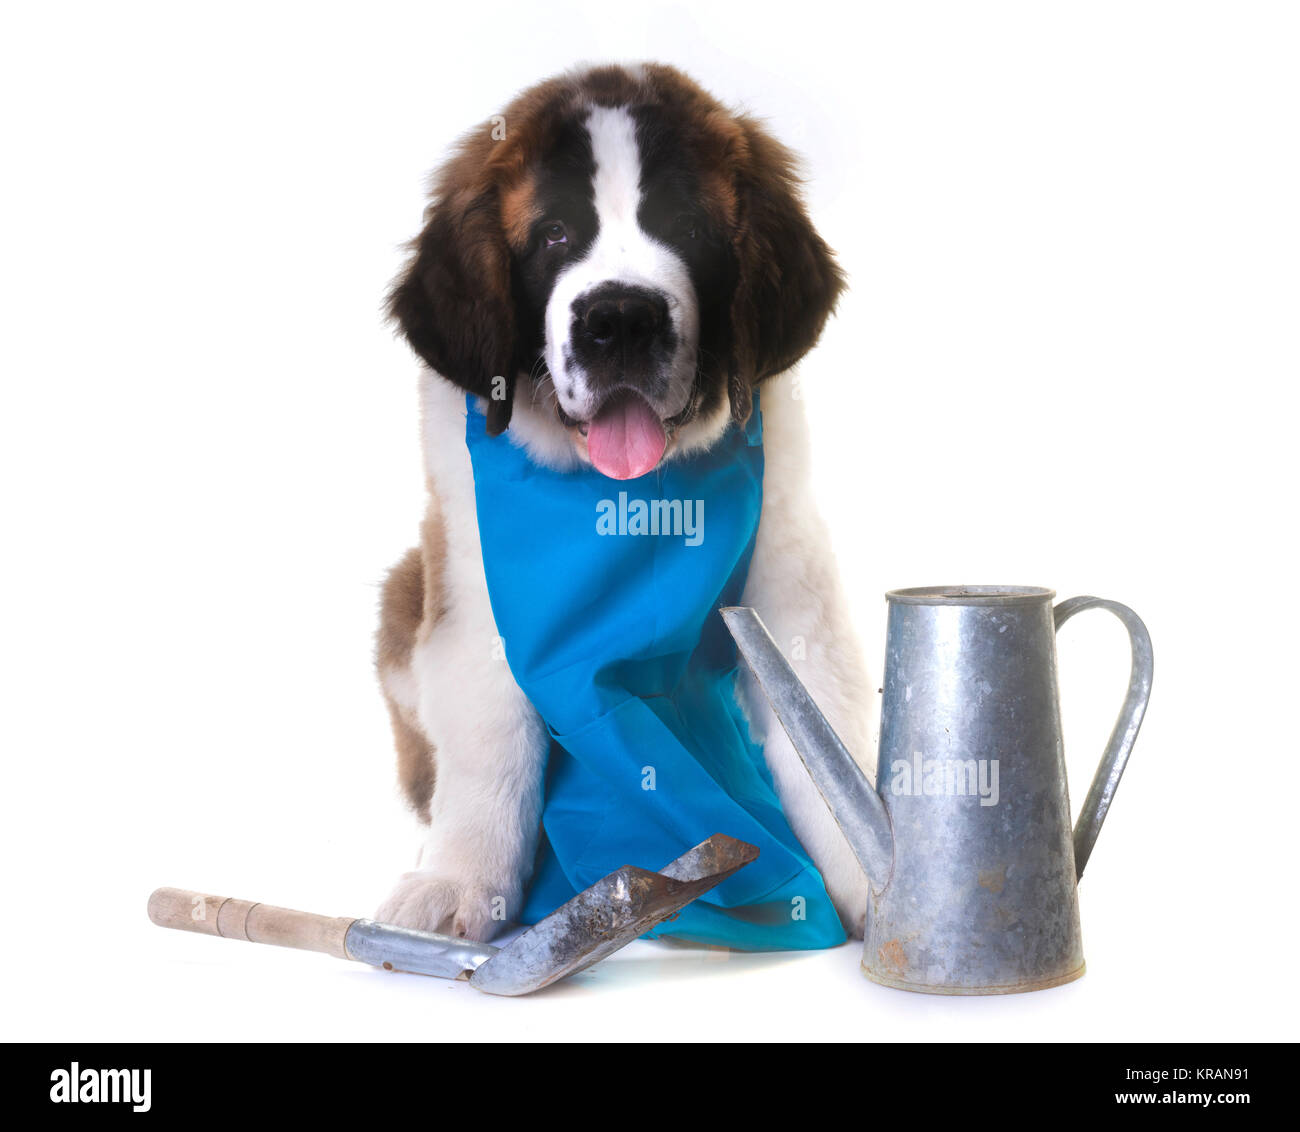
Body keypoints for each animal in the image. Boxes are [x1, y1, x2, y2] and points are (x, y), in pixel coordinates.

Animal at [374, 66, 873, 940]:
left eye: (689, 228)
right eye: (553, 237)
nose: (620, 319)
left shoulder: (789, 568)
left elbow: (822, 721)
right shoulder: (471, 579)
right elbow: (489, 736)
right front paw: (461, 883)